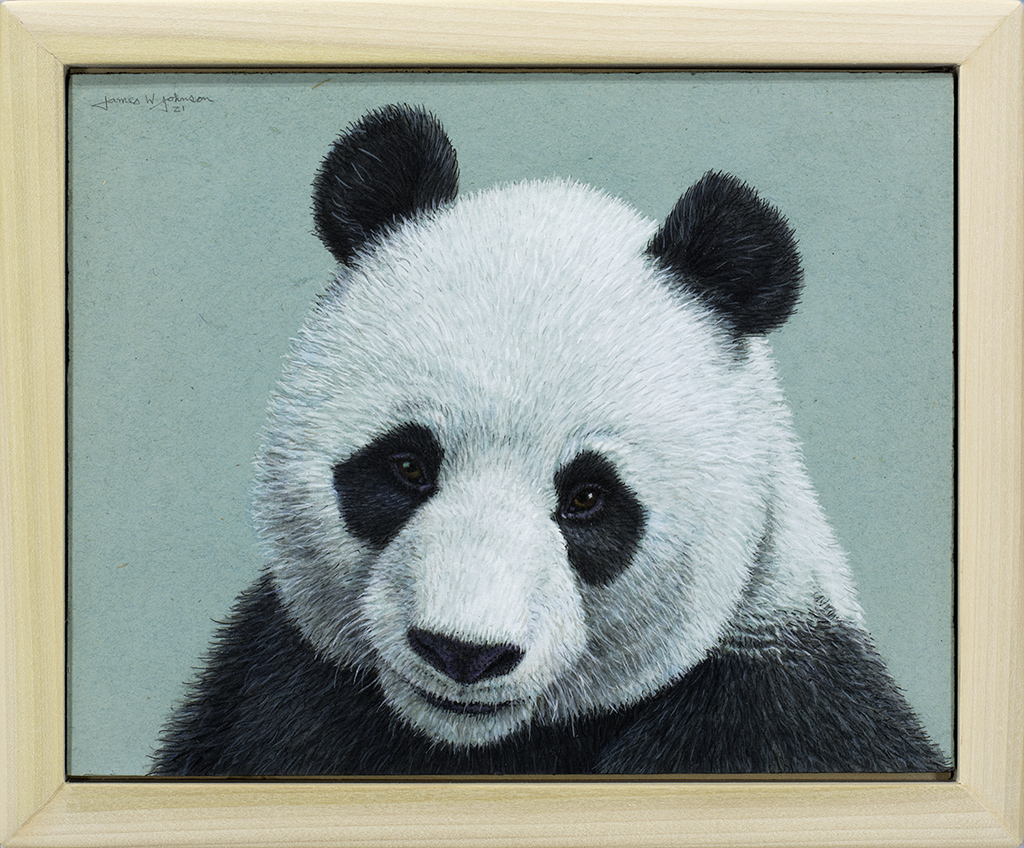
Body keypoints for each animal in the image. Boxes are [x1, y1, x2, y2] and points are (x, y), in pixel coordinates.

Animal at [152, 104, 947, 776]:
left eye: (588, 497)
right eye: (406, 466)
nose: (463, 652)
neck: (485, 744)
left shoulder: (774, 711)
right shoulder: (276, 688)